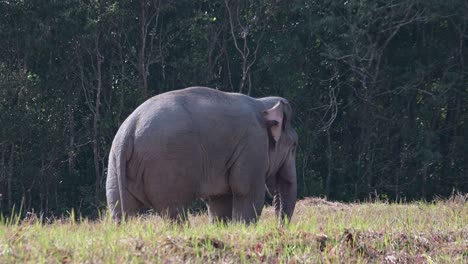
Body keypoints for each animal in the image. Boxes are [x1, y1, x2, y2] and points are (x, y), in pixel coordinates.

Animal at [106, 86, 298, 223]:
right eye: (294, 145)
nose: (279, 226)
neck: (262, 103)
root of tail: (130, 129)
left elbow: (219, 200)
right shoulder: (252, 145)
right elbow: (247, 192)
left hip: (115, 165)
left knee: (120, 210)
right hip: (165, 167)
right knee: (174, 211)